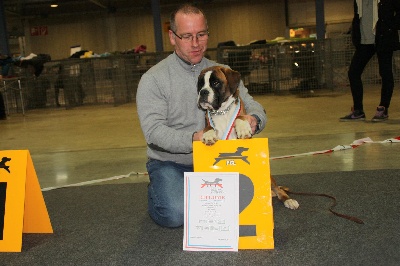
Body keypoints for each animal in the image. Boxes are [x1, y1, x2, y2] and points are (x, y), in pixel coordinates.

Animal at [195, 66, 298, 210]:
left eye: (215, 83)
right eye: (200, 84)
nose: (203, 92)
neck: (222, 112)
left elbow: (240, 116)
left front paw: (243, 127)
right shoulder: (208, 122)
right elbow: (208, 127)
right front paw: (208, 135)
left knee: (278, 189)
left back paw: (288, 200)